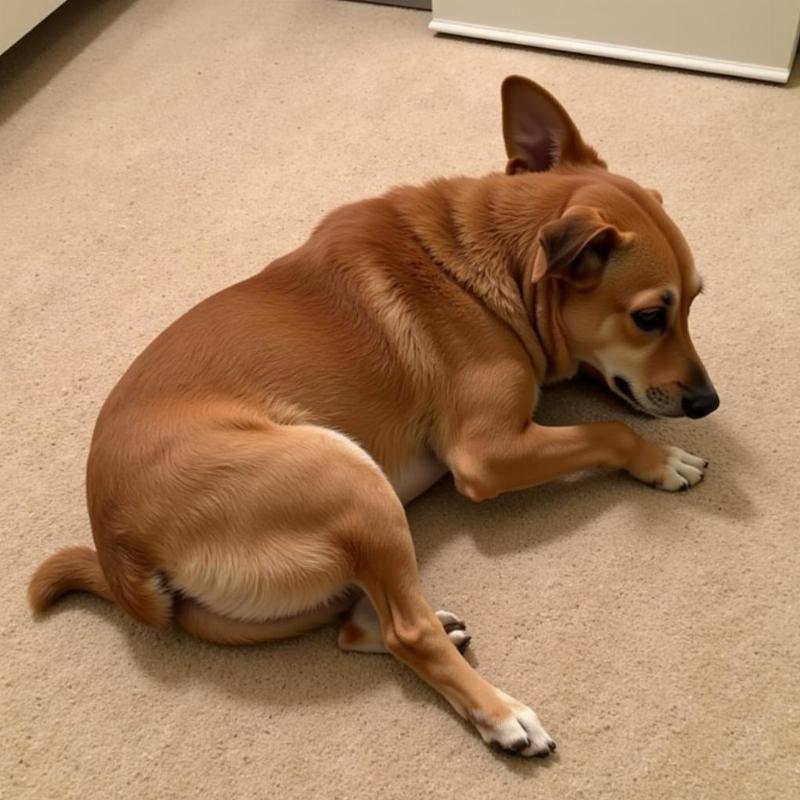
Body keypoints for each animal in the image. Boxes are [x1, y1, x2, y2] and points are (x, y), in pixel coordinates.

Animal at [29, 78, 720, 760]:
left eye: (694, 301)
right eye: (650, 316)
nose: (707, 403)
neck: (489, 263)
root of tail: (121, 555)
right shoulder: (487, 452)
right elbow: (609, 430)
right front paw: (661, 459)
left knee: (361, 625)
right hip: (348, 476)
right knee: (404, 632)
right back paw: (501, 714)